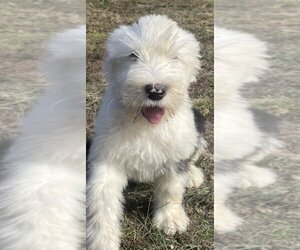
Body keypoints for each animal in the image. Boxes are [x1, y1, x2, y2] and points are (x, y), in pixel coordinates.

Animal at [86, 14, 206, 249]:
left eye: (175, 57)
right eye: (133, 56)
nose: (156, 91)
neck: (146, 125)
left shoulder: (176, 154)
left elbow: (171, 187)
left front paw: (170, 219)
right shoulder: (107, 158)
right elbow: (101, 199)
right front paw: (102, 239)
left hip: (198, 127)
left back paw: (193, 175)